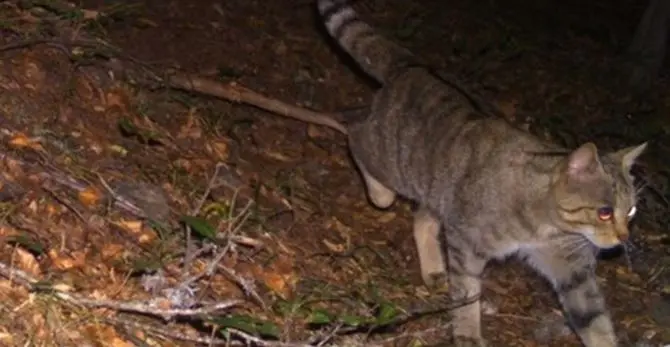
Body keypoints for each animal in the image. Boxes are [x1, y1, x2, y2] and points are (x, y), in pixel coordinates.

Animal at [318, 1, 648, 346]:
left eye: (631, 210)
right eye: (604, 212)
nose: (624, 237)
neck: (547, 224)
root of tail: (414, 65)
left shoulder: (573, 273)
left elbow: (596, 323)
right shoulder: (466, 245)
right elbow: (466, 296)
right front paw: (467, 334)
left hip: (439, 188)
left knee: (422, 218)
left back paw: (432, 269)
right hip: (395, 164)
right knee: (355, 136)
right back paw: (377, 186)